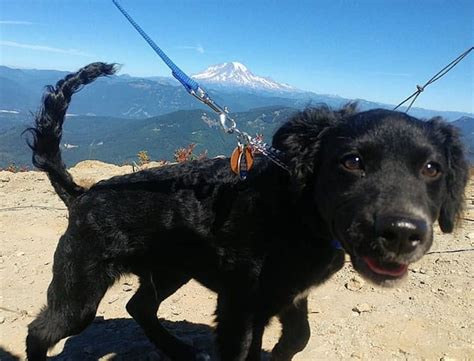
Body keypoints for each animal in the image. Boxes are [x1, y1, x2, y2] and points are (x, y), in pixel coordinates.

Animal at [25, 63, 466, 358]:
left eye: (433, 169)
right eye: (352, 161)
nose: (402, 233)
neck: (297, 213)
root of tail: (81, 194)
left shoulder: (287, 296)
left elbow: (298, 337)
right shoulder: (239, 307)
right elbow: (245, 351)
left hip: (170, 270)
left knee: (139, 307)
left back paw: (179, 350)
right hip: (80, 289)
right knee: (39, 331)